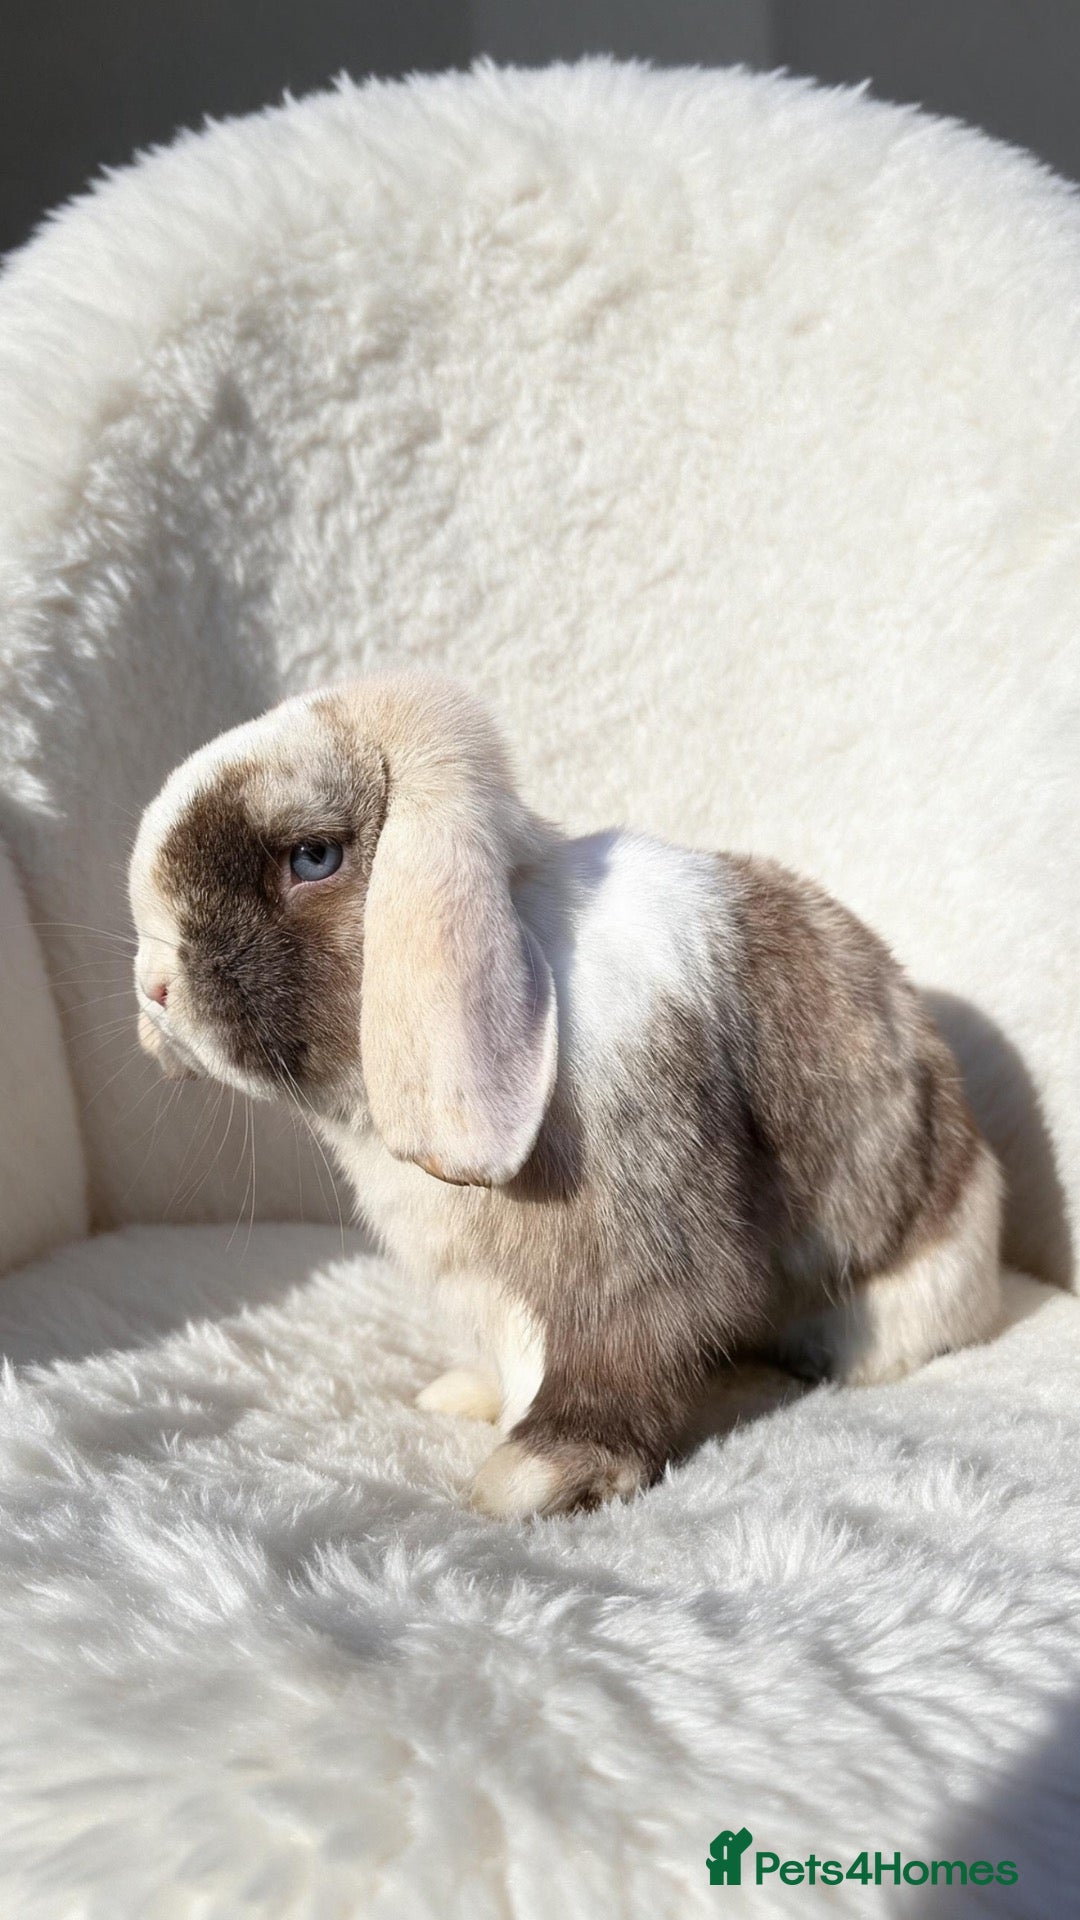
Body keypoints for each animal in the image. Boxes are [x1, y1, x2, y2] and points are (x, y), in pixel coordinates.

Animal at [129, 673, 1002, 1518]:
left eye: (312, 857)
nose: (156, 988)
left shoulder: (637, 1251)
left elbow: (621, 1350)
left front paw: (532, 1479)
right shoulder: (491, 1285)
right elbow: (515, 1353)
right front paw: (472, 1400)